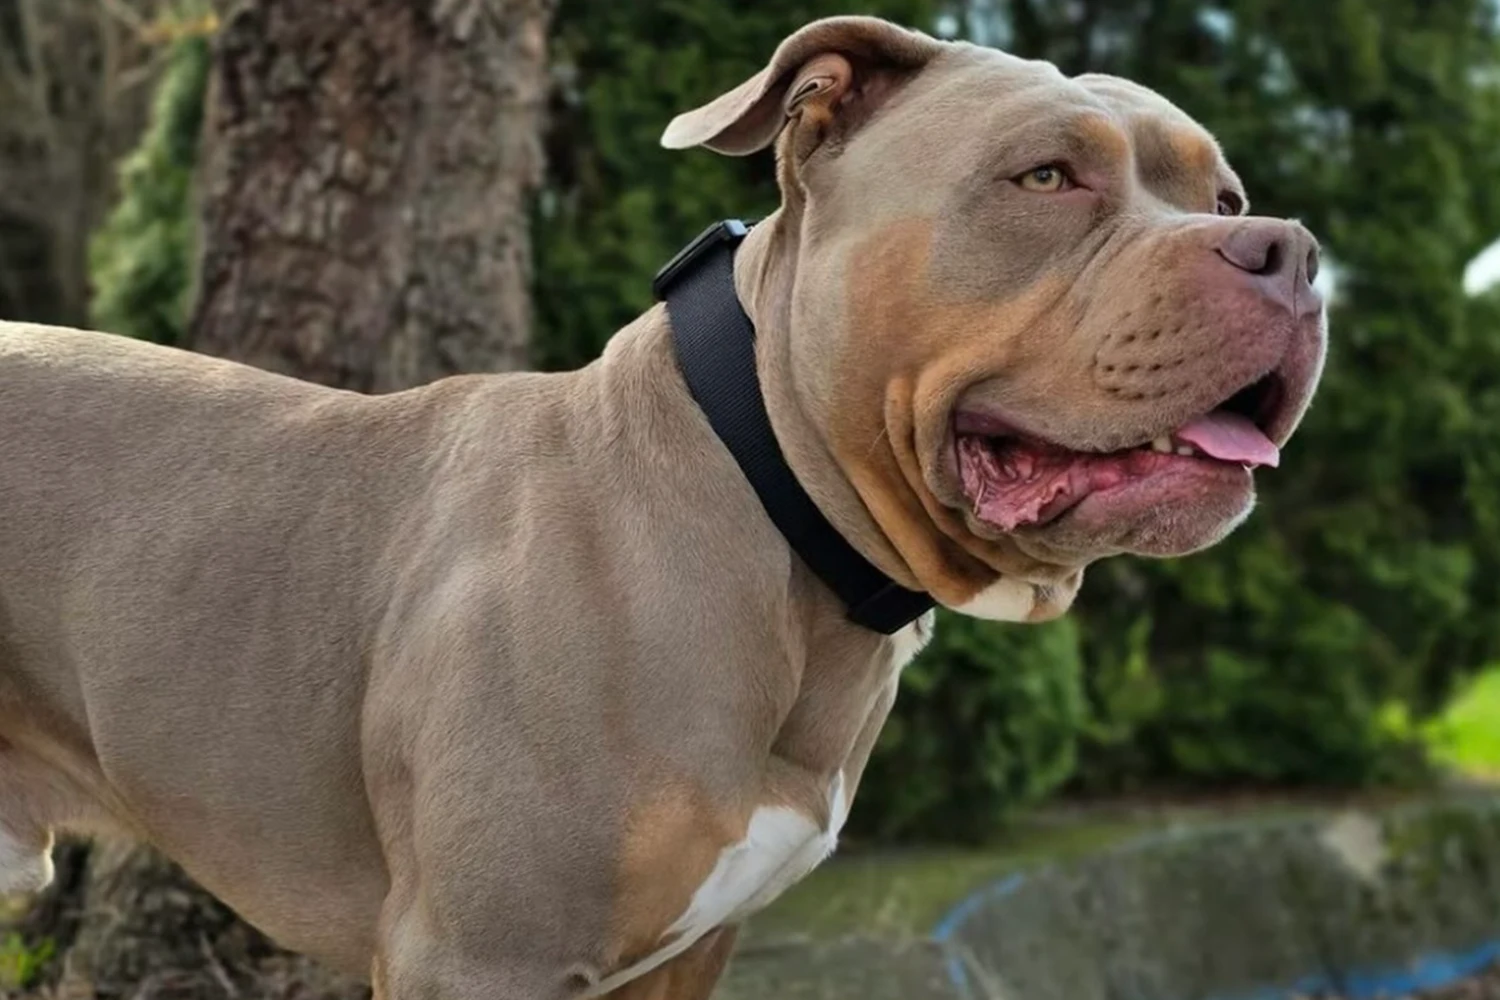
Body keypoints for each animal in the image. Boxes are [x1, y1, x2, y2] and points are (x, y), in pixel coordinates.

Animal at [2, 15, 1326, 1000]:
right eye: (1045, 176)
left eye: (1223, 196)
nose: (1291, 251)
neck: (773, 510)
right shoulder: (479, 955)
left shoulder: (682, 957)